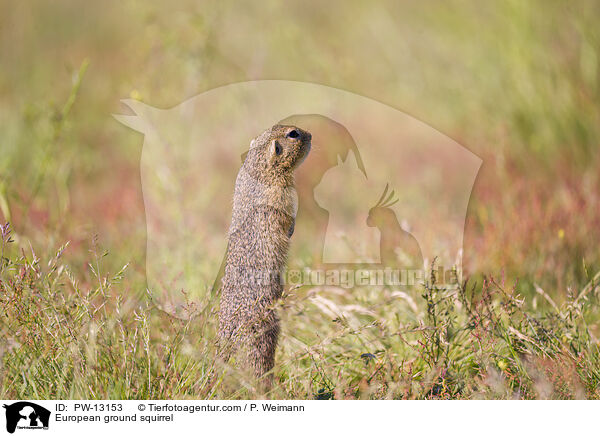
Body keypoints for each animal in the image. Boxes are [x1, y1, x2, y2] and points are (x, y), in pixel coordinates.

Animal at [220, 124, 314, 384]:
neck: (259, 167)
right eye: (293, 134)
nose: (311, 135)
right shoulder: (280, 200)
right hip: (263, 335)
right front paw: (291, 230)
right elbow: (286, 219)